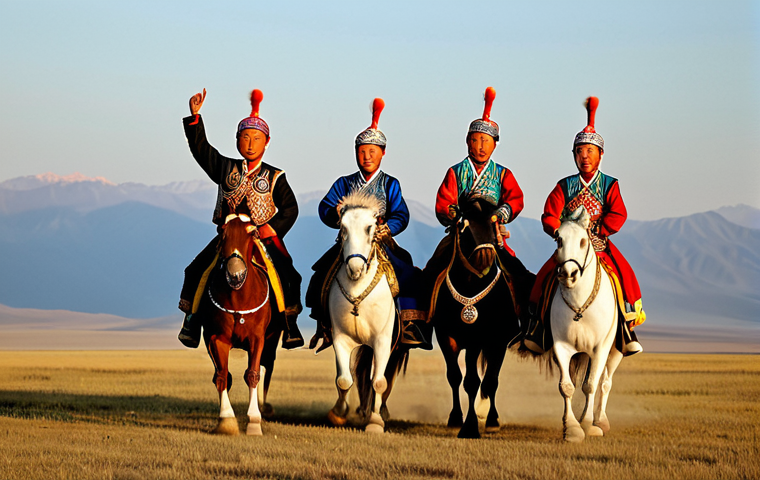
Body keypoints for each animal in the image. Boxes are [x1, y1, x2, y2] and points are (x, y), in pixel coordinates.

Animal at [195, 213, 277, 436]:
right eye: (221, 232)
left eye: (253, 233)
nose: (235, 274)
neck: (238, 298)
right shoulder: (216, 339)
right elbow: (222, 376)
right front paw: (226, 420)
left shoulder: (257, 339)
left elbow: (253, 374)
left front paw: (254, 421)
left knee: (265, 369)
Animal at [325, 192, 409, 433]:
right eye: (342, 227)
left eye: (370, 227)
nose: (355, 268)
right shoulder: (340, 338)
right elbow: (344, 379)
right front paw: (338, 413)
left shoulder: (382, 340)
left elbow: (379, 381)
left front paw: (375, 422)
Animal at [428, 198, 524, 439]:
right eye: (464, 224)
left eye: (494, 221)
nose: (486, 256)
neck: (470, 286)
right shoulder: (446, 337)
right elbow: (455, 377)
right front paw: (456, 419)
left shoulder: (480, 340)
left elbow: (475, 381)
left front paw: (471, 426)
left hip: (496, 344)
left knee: (491, 381)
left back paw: (492, 419)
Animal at [549, 206, 622, 442]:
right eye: (558, 239)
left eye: (583, 241)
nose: (568, 274)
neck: (580, 305)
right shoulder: (561, 347)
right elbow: (567, 387)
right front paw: (572, 428)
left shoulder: (600, 348)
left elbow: (591, 386)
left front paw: (589, 425)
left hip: (615, 351)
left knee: (605, 383)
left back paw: (601, 421)